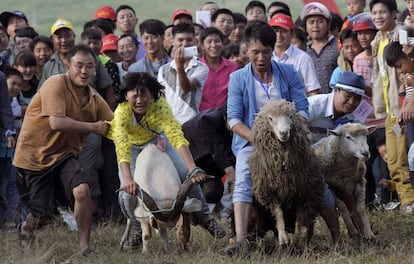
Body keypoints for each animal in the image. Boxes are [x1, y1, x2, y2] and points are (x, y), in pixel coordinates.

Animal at [247, 100, 326, 246]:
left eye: (291, 116)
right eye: (270, 118)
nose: (284, 133)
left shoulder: (306, 193)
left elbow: (300, 220)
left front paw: (296, 239)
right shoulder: (268, 193)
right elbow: (278, 213)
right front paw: (283, 237)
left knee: (310, 222)